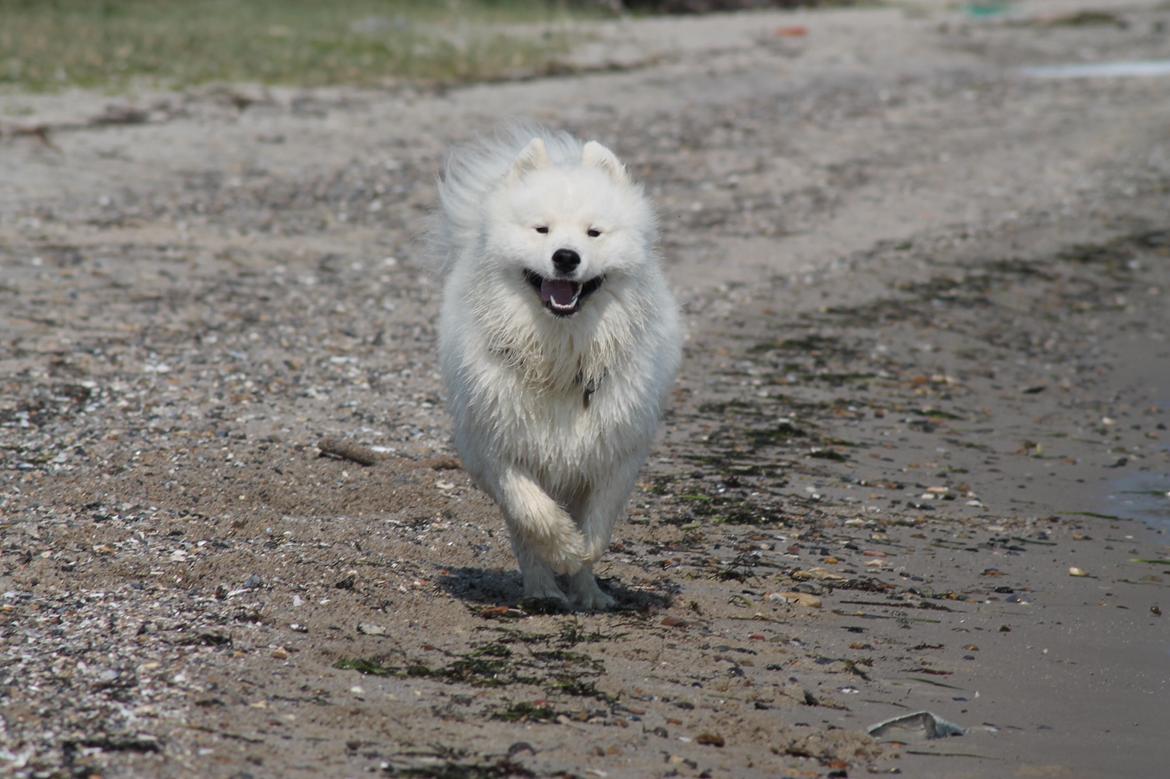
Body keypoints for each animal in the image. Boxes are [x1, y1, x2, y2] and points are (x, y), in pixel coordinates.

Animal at [435, 127, 683, 608]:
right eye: (541, 229)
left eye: (594, 233)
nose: (566, 256)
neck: (561, 351)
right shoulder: (500, 447)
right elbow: (534, 515)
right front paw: (563, 551)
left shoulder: (615, 453)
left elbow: (599, 526)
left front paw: (582, 560)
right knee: (523, 535)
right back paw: (543, 591)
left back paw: (590, 596)